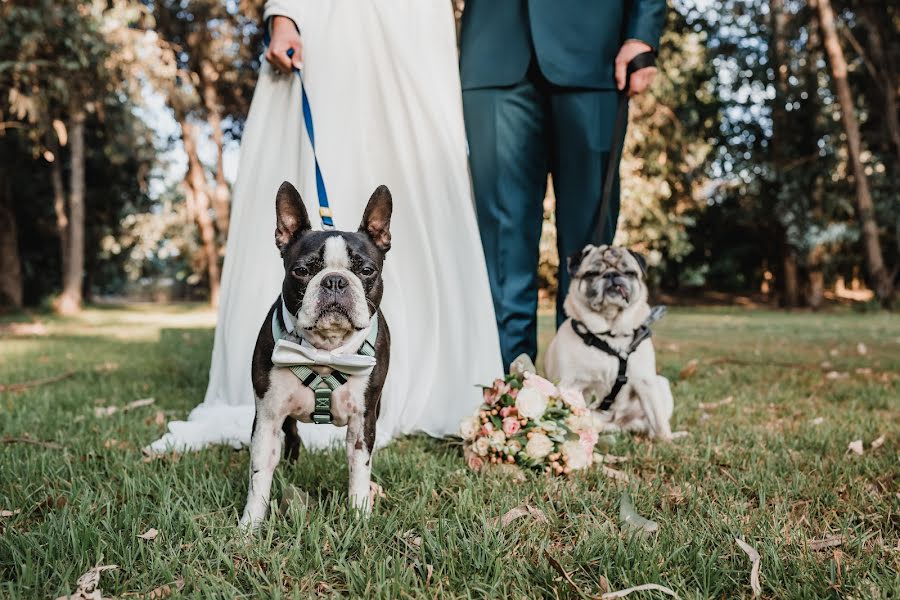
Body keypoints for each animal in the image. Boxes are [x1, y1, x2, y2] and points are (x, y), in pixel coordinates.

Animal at [540, 245, 676, 440]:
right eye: (592, 273)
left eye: (629, 272)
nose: (611, 274)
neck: (610, 334)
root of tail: (616, 424)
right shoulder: (569, 385)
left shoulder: (646, 383)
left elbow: (659, 420)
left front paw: (666, 441)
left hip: (661, 384)